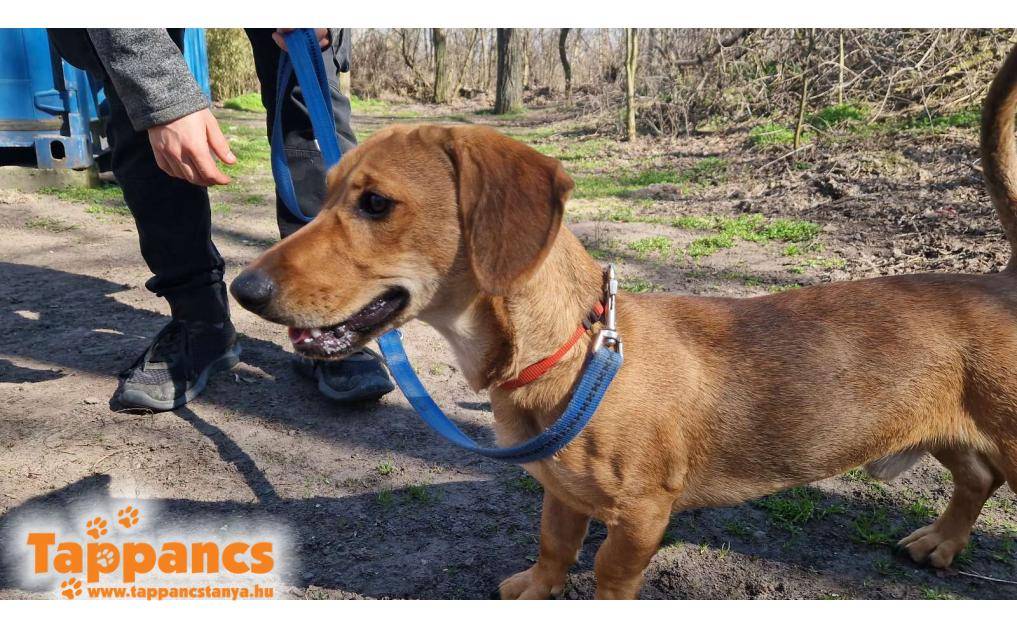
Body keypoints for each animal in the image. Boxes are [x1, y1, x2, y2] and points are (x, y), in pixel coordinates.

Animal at [230, 46, 1017, 599]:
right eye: (325, 196)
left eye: (375, 204)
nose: (242, 288)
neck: (575, 353)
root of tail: (1003, 279)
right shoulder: (558, 493)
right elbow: (553, 546)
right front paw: (535, 590)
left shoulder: (639, 519)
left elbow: (607, 574)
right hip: (953, 434)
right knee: (975, 480)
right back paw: (941, 543)